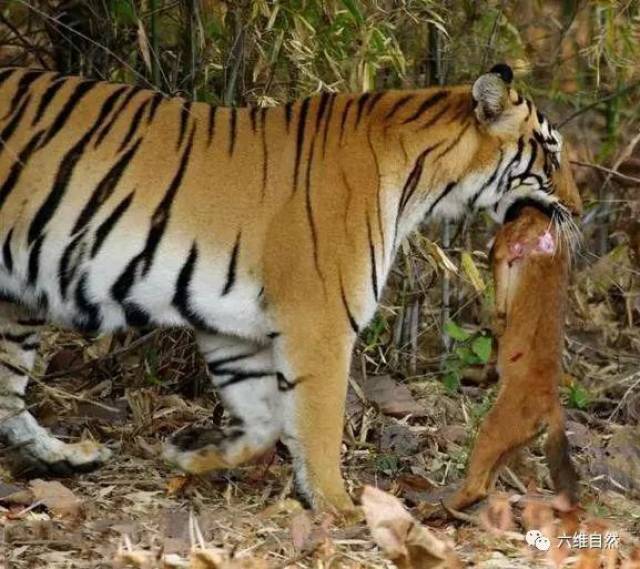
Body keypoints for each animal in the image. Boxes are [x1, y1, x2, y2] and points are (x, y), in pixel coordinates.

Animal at [0, 63, 580, 516]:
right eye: (552, 155)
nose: (579, 208)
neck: (427, 180)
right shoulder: (319, 321)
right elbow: (319, 423)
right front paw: (340, 506)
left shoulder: (231, 327)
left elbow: (262, 424)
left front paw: (191, 455)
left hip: (18, 299)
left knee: (7, 394)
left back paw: (66, 458)